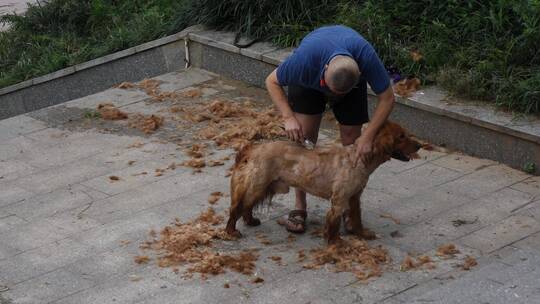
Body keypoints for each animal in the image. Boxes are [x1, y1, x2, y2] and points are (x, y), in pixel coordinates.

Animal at [224, 120, 422, 243]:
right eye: (401, 136)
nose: (420, 145)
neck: (357, 159)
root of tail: (253, 148)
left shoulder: (354, 197)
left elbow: (357, 218)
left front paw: (362, 234)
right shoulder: (339, 199)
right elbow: (333, 224)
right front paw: (336, 243)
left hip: (263, 187)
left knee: (247, 207)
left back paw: (250, 221)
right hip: (257, 185)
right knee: (237, 209)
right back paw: (231, 231)